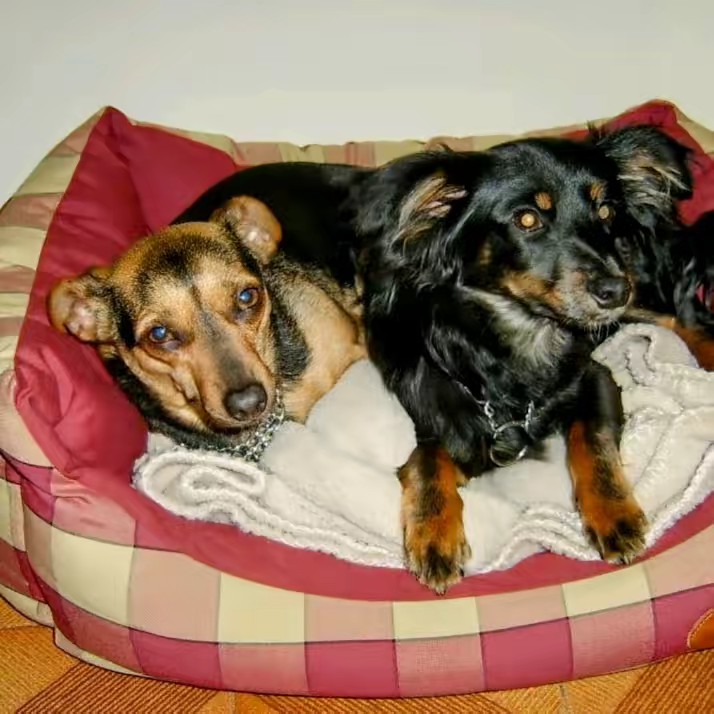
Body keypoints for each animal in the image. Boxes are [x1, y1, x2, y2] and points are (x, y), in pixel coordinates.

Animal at [353, 125, 714, 593]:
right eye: (527, 219)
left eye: (605, 211)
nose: (614, 291)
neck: (521, 332)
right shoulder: (440, 413)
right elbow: (426, 462)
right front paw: (433, 536)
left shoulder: (593, 377)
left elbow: (592, 441)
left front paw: (615, 515)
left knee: (680, 317)